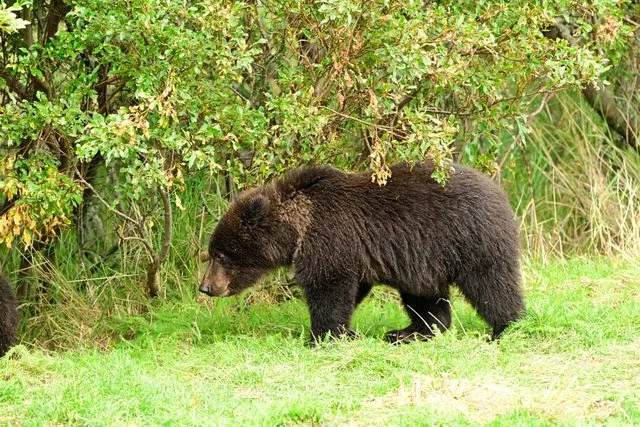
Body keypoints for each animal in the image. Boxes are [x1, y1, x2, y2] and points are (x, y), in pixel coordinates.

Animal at [199, 162, 524, 343]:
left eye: (221, 255)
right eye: (212, 252)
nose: (206, 287)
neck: (297, 229)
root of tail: (500, 192)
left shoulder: (330, 237)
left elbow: (329, 289)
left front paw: (322, 336)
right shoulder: (349, 253)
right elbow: (350, 290)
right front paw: (342, 332)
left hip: (470, 240)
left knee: (492, 284)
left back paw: (505, 328)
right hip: (423, 263)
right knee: (425, 298)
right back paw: (407, 332)